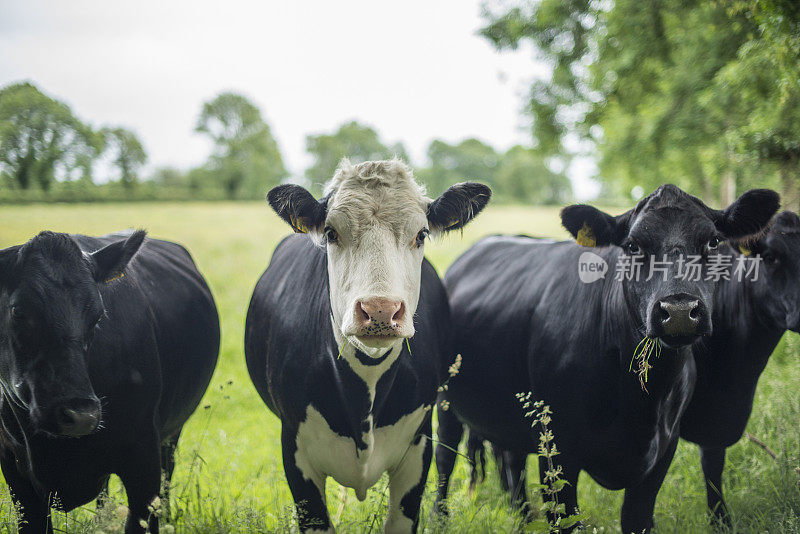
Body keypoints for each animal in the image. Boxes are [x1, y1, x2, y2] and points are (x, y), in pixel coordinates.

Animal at [0, 231, 219, 534]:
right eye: (18, 311)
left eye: (97, 316)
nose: (81, 415)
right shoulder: (14, 467)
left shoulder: (144, 458)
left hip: (170, 436)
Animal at [434, 185, 780, 534]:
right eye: (632, 245)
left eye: (713, 241)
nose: (680, 310)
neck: (640, 402)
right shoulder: (555, 446)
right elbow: (565, 518)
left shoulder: (664, 447)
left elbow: (637, 519)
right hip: (445, 400)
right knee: (444, 458)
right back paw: (441, 518)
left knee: (511, 461)